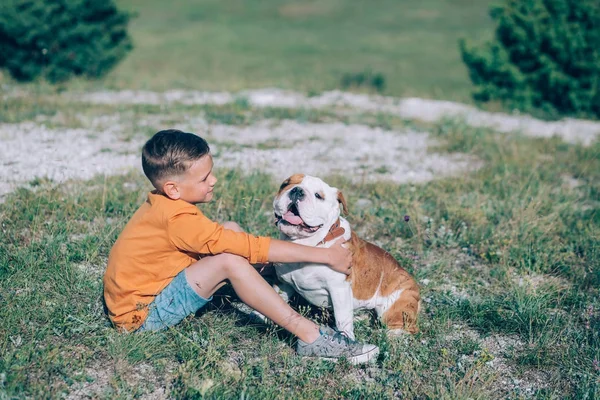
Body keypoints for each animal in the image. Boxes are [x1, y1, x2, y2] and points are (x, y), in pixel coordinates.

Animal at [274, 173, 422, 340]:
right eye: (285, 184)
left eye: (318, 196)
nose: (297, 190)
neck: (306, 246)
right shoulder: (283, 284)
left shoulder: (339, 290)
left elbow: (342, 319)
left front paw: (346, 338)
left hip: (394, 305)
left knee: (405, 327)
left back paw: (388, 335)